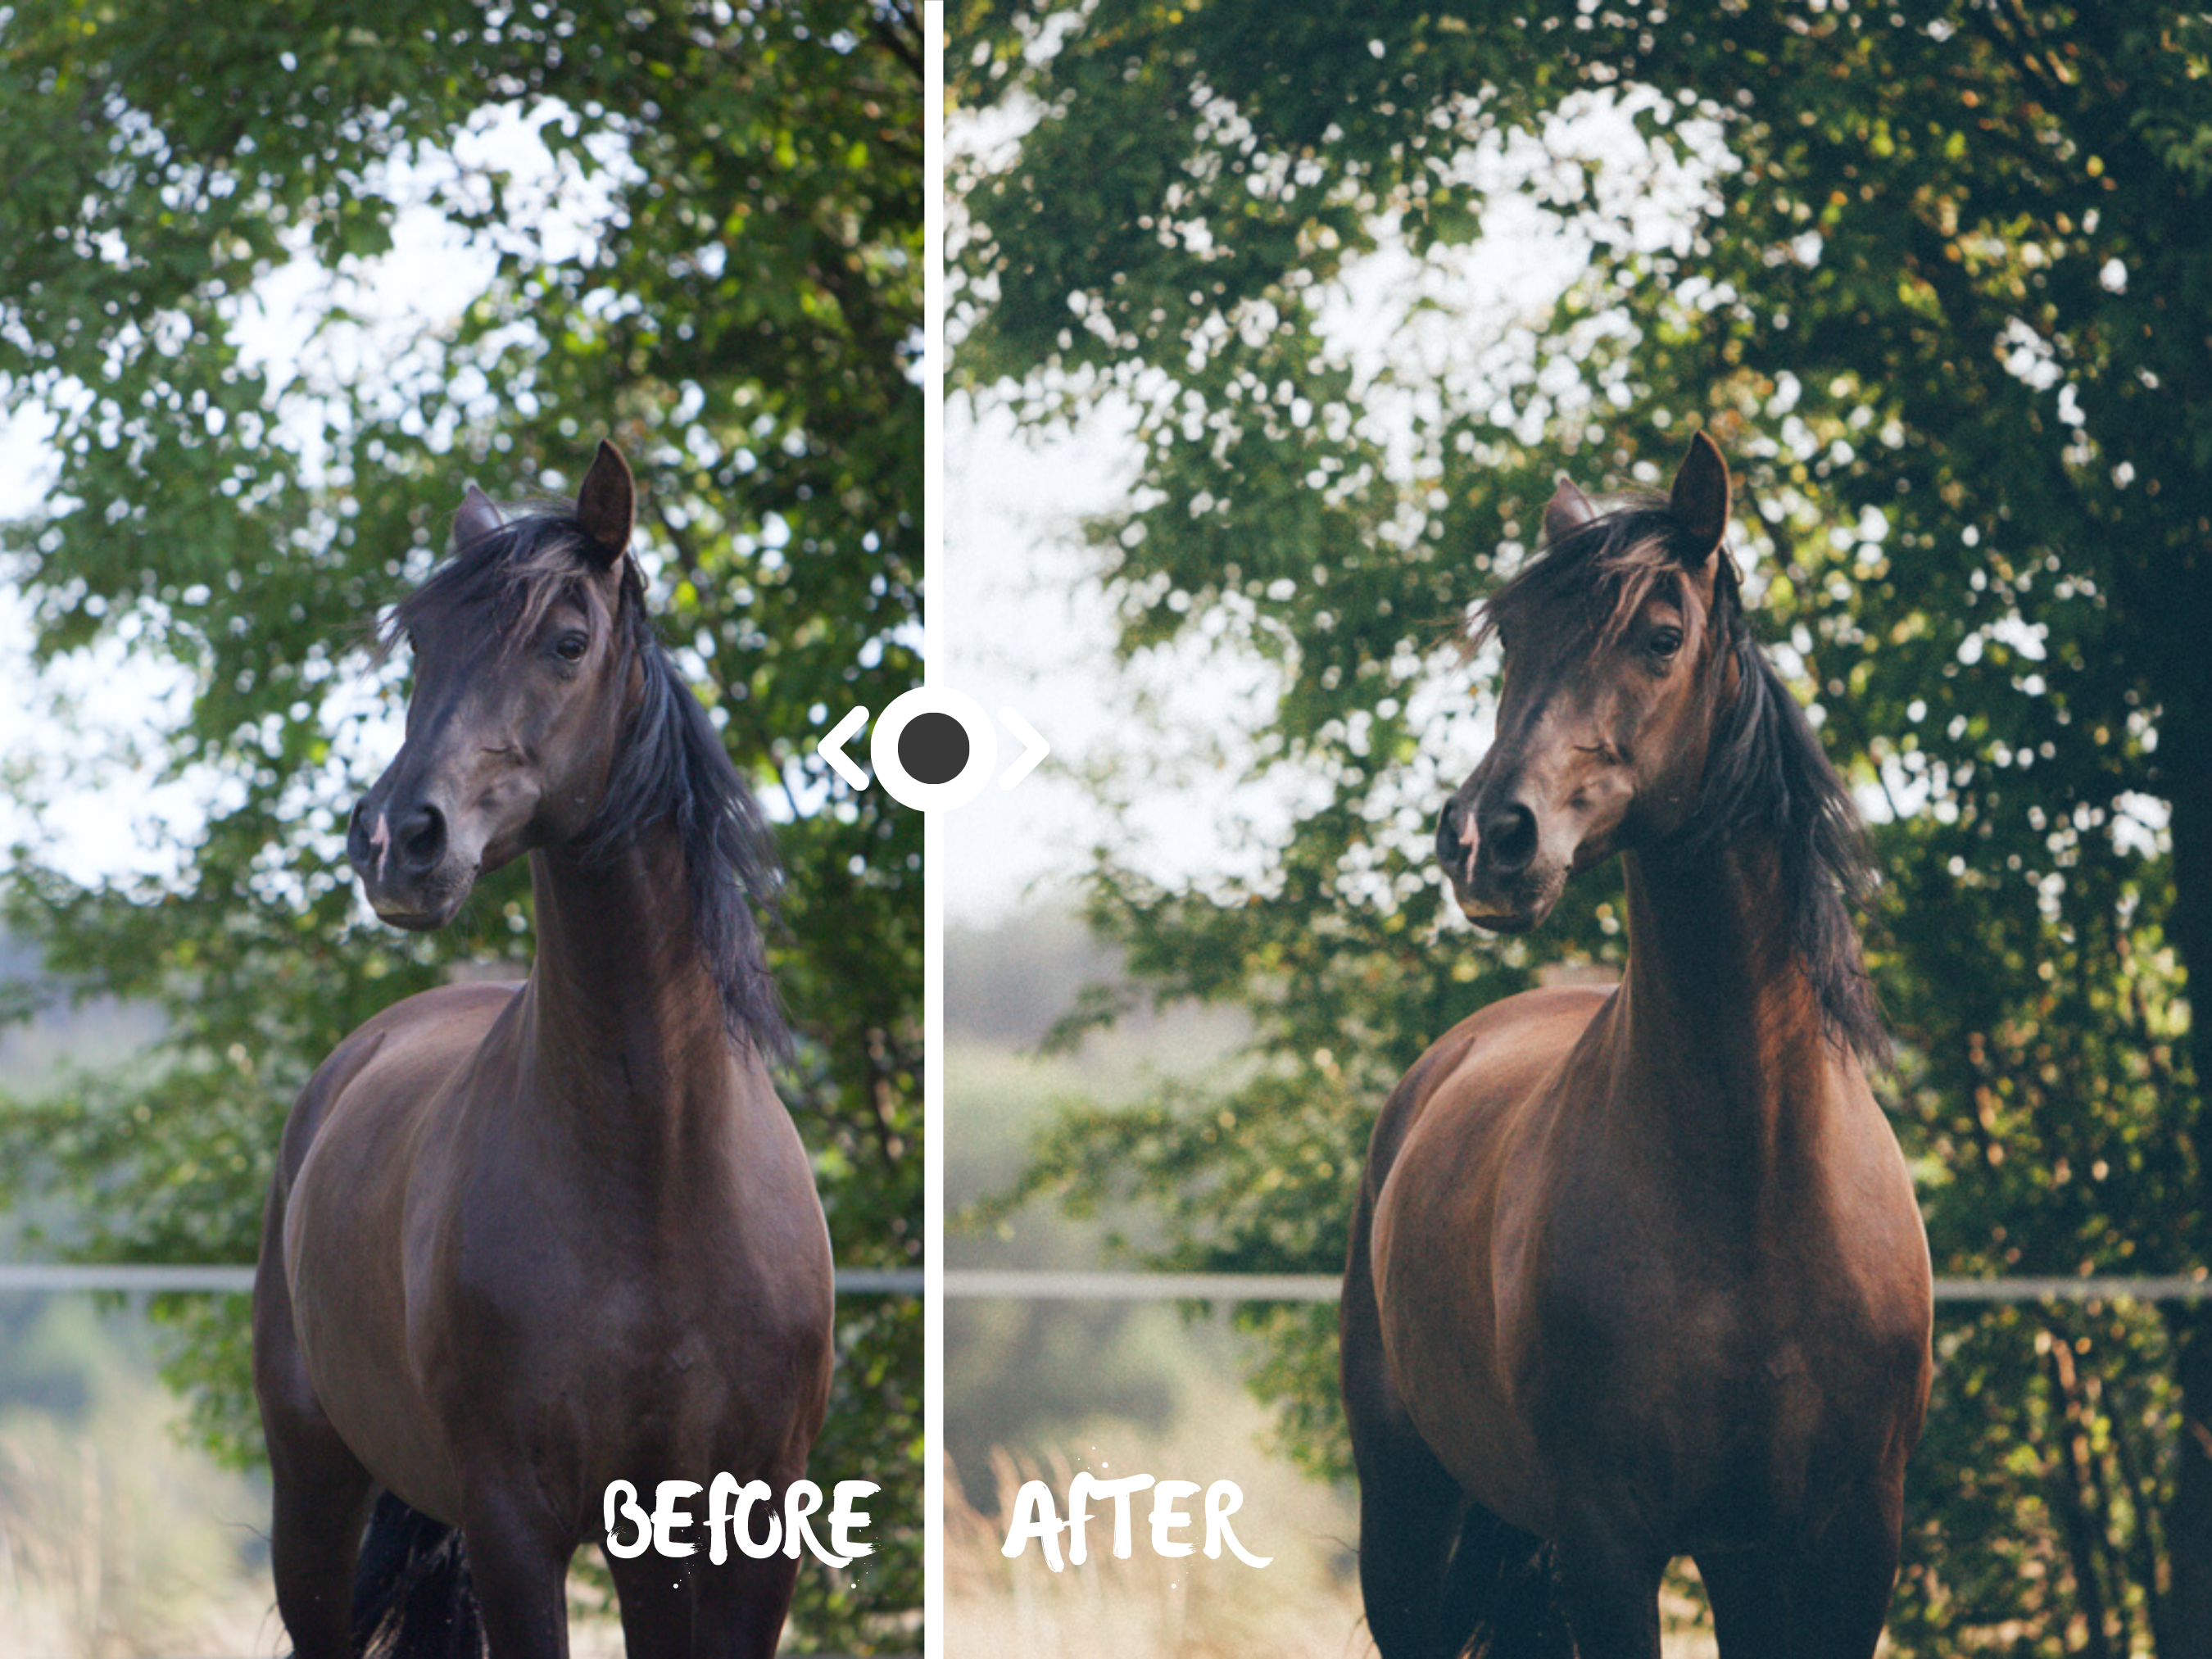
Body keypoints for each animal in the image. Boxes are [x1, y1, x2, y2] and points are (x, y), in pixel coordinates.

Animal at [253, 442, 834, 1659]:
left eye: (569, 641)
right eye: (421, 644)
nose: (396, 840)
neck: (655, 1164)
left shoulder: (741, 1528)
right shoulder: (514, 1524)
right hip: (314, 1493)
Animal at [1340, 433, 1933, 1658]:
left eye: (1662, 636)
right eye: (1513, 638)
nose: (1485, 839)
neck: (1754, 1175)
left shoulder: (1843, 1548)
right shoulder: (1609, 1544)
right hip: (1409, 1516)